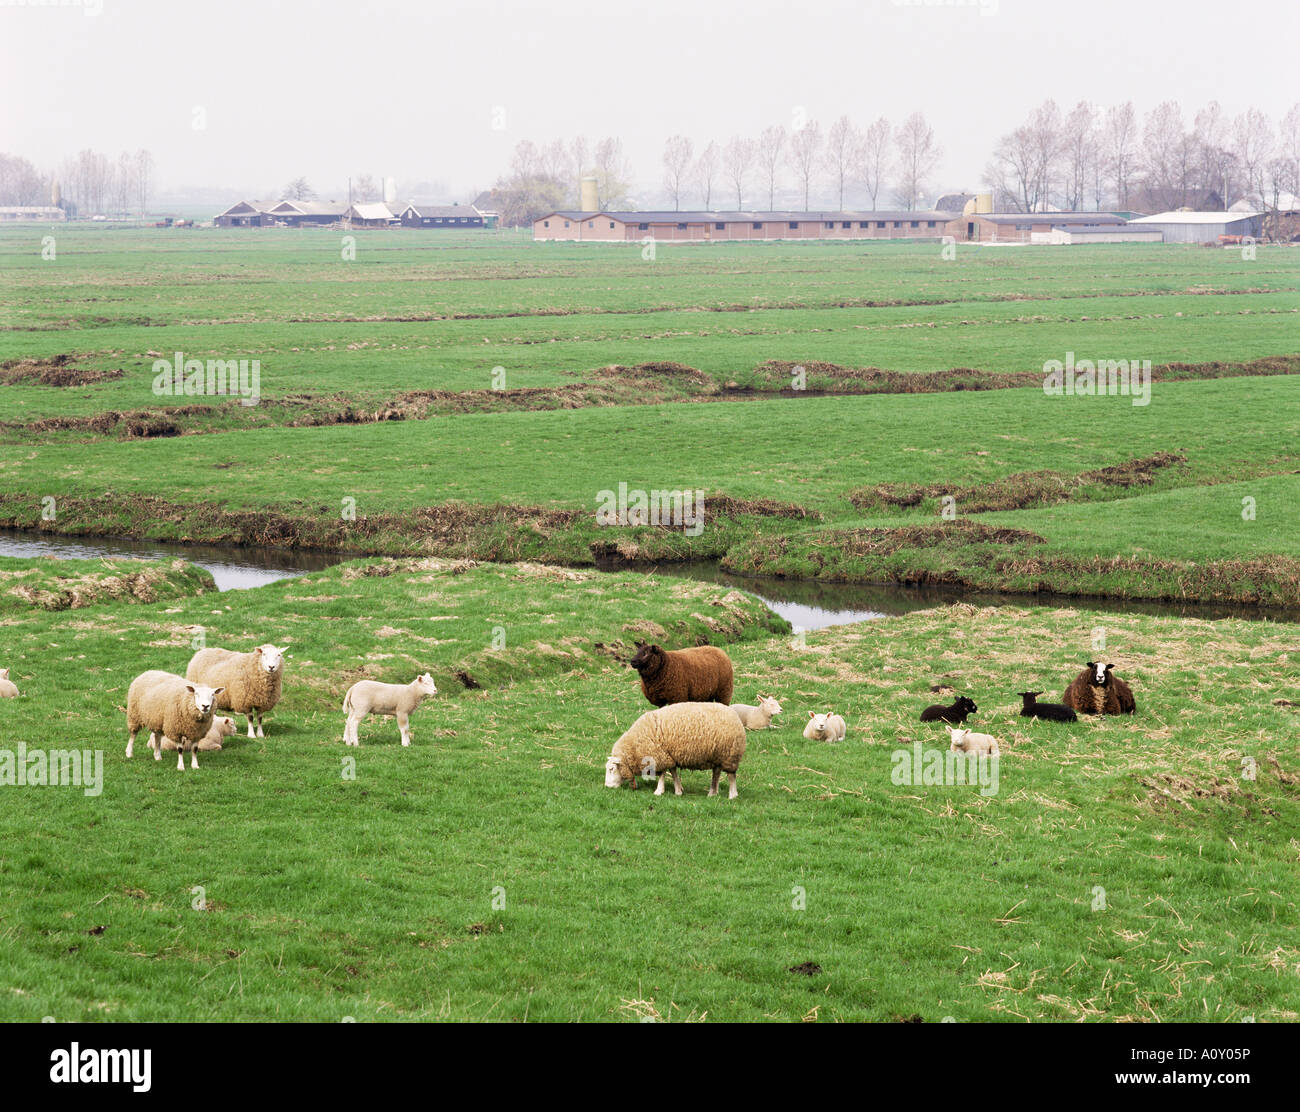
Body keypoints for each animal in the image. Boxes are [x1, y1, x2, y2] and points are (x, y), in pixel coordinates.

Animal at [603, 702, 748, 801]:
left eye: (611, 769)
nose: (607, 787)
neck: (635, 746)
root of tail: (735, 716)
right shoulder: (669, 756)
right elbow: (673, 773)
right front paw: (678, 790)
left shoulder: (659, 756)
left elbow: (662, 774)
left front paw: (659, 791)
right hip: (718, 757)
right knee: (716, 774)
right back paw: (712, 793)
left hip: (730, 755)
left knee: (731, 776)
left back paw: (732, 795)